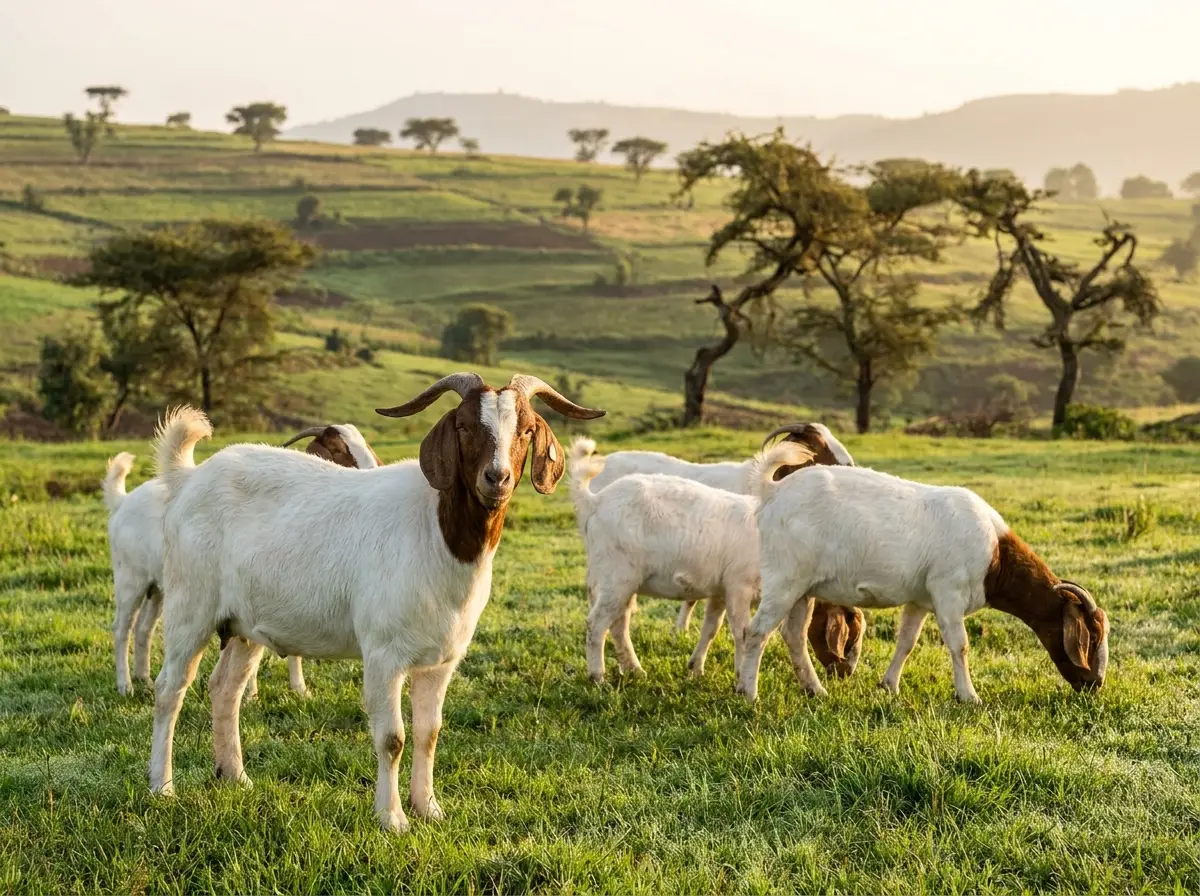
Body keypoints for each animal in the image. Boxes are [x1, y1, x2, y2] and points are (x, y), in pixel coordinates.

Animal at [103, 423, 378, 698]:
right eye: (336, 449)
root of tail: (122, 502)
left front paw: (298, 689)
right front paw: (252, 694)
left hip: (159, 589)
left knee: (144, 628)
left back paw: (143, 677)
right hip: (131, 579)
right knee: (122, 628)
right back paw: (125, 685)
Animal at [148, 373, 604, 832]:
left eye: (526, 430)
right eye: (463, 425)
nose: (498, 478)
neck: (436, 534)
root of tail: (188, 479)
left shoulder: (440, 661)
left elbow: (429, 733)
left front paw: (429, 807)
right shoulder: (384, 654)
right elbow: (392, 738)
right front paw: (392, 817)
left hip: (244, 626)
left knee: (225, 689)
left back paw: (235, 776)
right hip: (191, 605)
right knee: (170, 689)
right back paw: (162, 787)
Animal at [735, 442, 1110, 704]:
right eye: (1091, 636)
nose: (1095, 684)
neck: (995, 555)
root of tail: (774, 491)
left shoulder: (920, 599)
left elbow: (907, 642)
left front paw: (888, 685)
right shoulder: (948, 592)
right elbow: (960, 645)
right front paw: (969, 696)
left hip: (803, 588)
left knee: (793, 636)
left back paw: (815, 690)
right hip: (785, 579)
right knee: (756, 632)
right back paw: (749, 694)